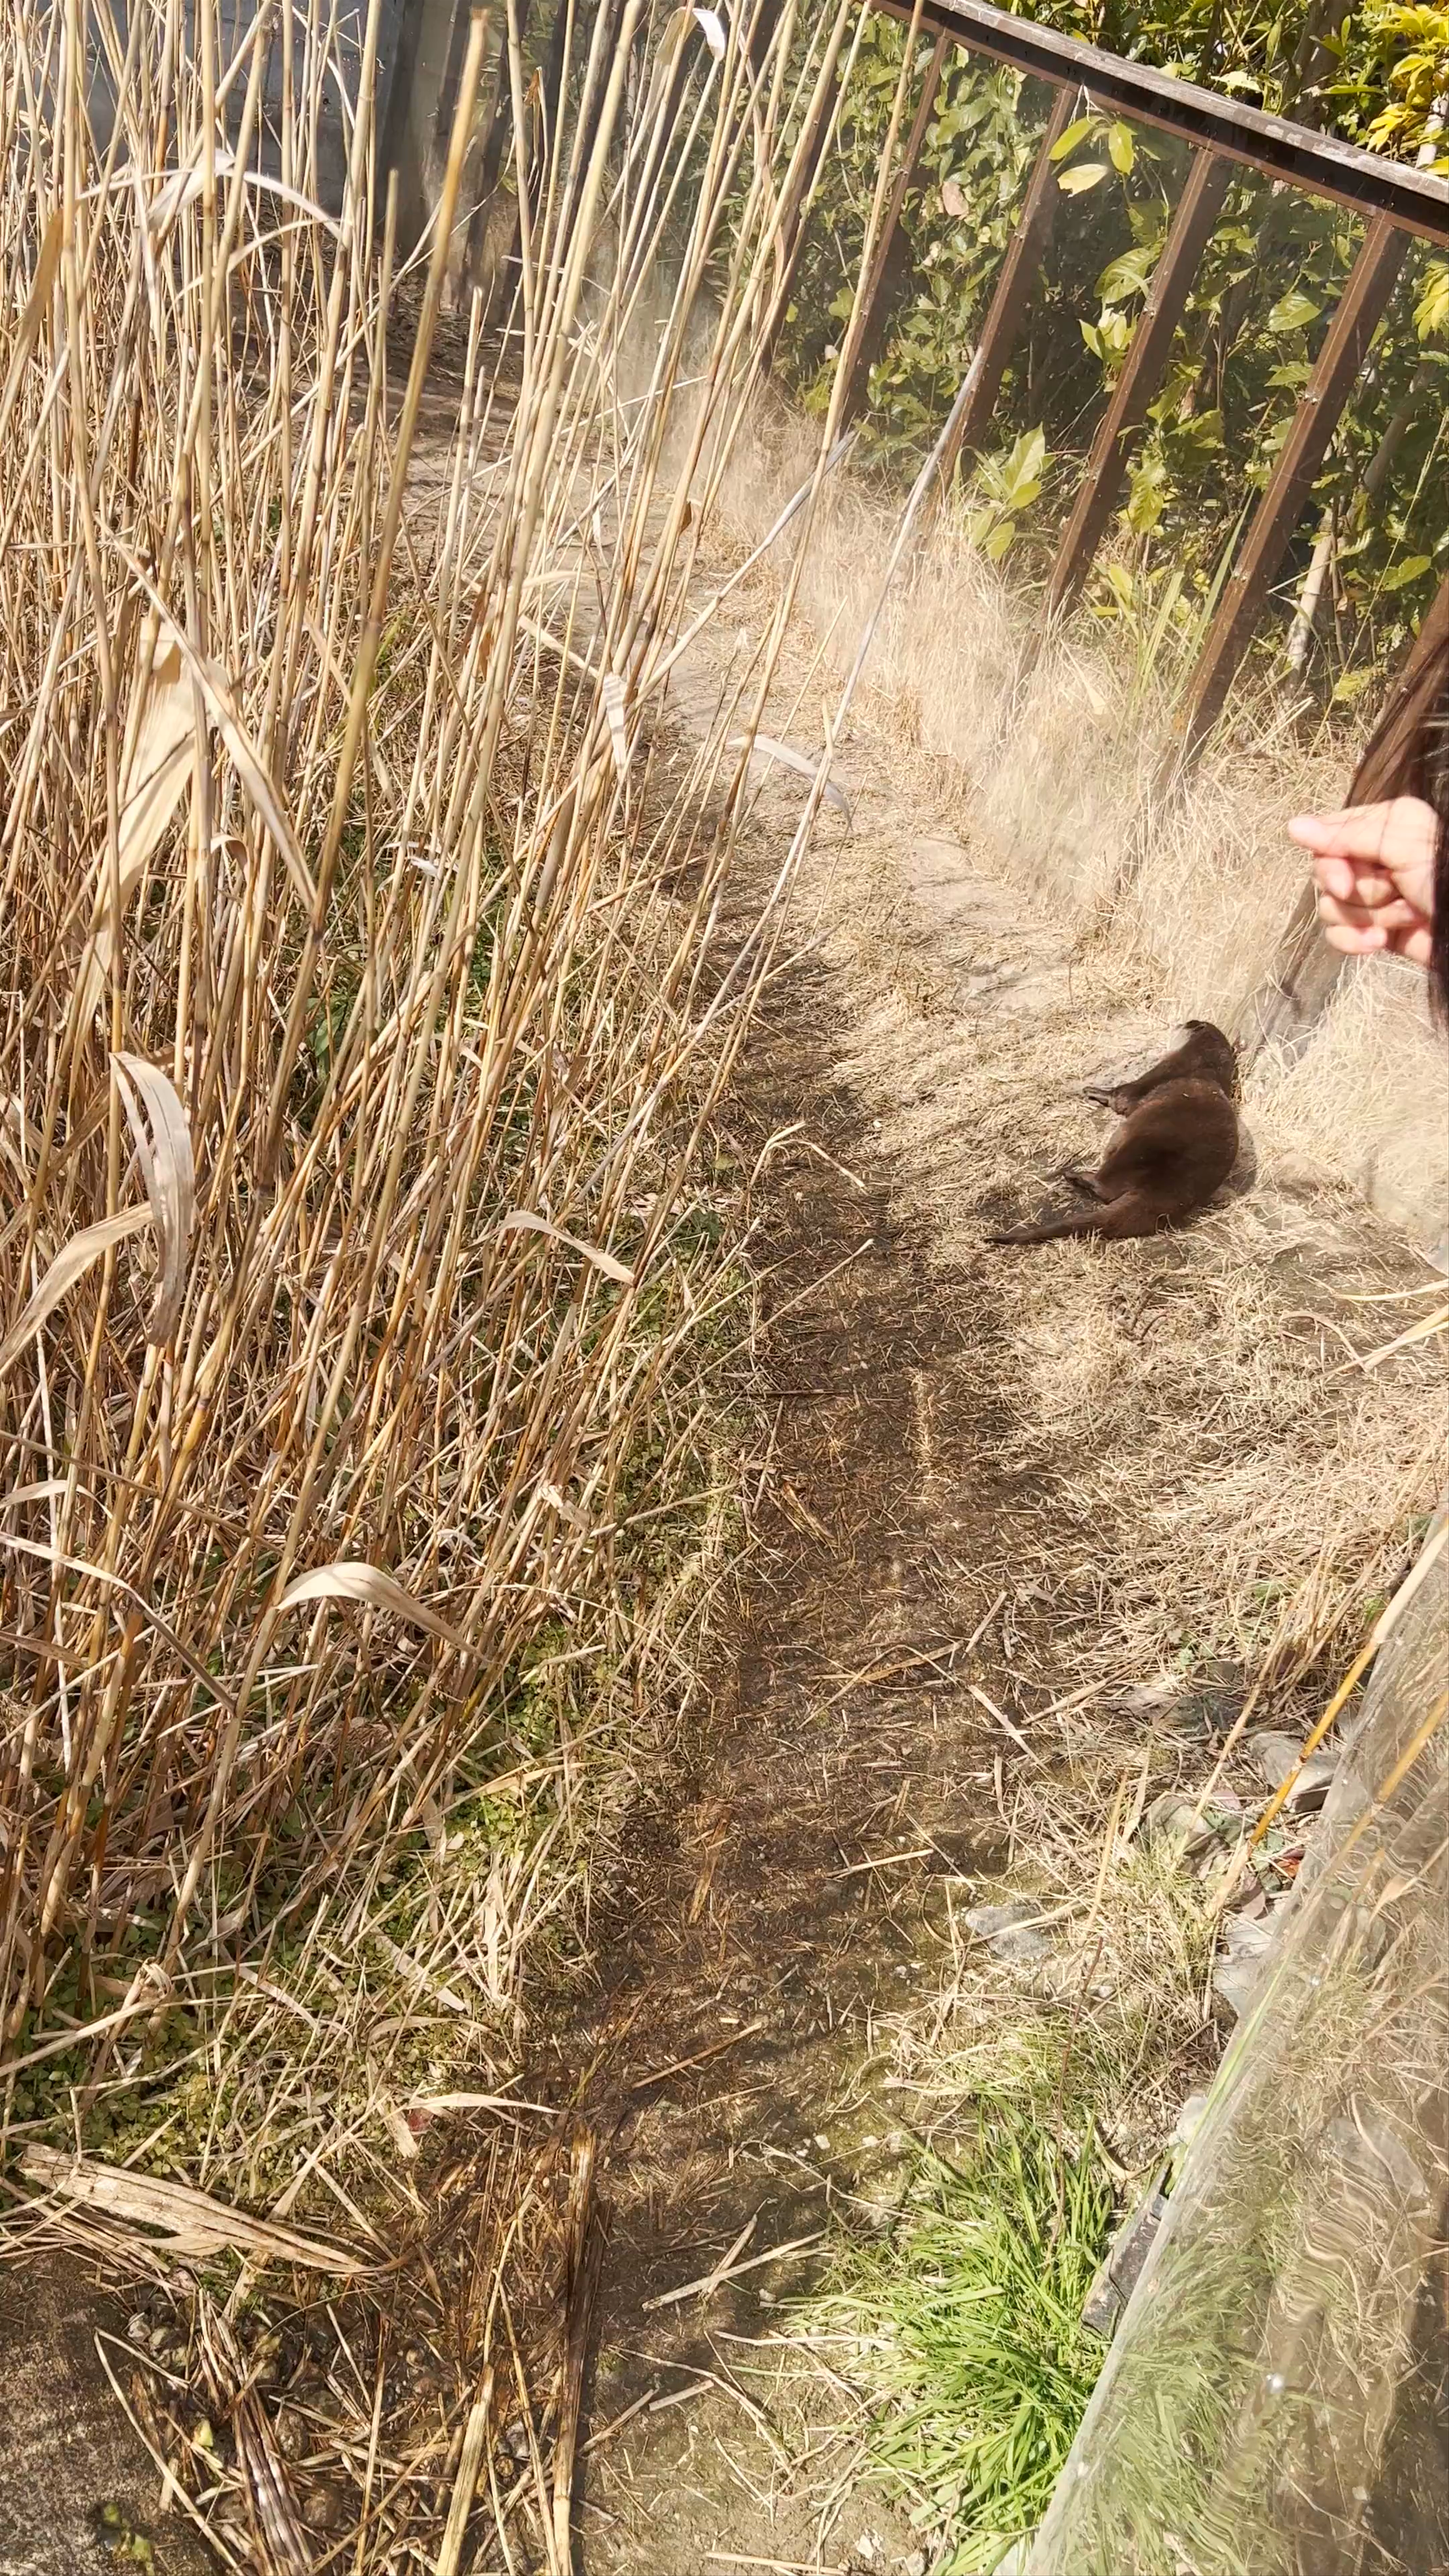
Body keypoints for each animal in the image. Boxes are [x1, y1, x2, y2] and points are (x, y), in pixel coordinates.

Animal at [988, 1020, 1239, 1247]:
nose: (1176, 1023)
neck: (1203, 1066)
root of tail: (1172, 1188)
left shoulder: (1161, 1072)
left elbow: (1122, 1097)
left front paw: (1093, 1090)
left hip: (1139, 1148)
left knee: (1107, 1186)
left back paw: (1076, 1176)